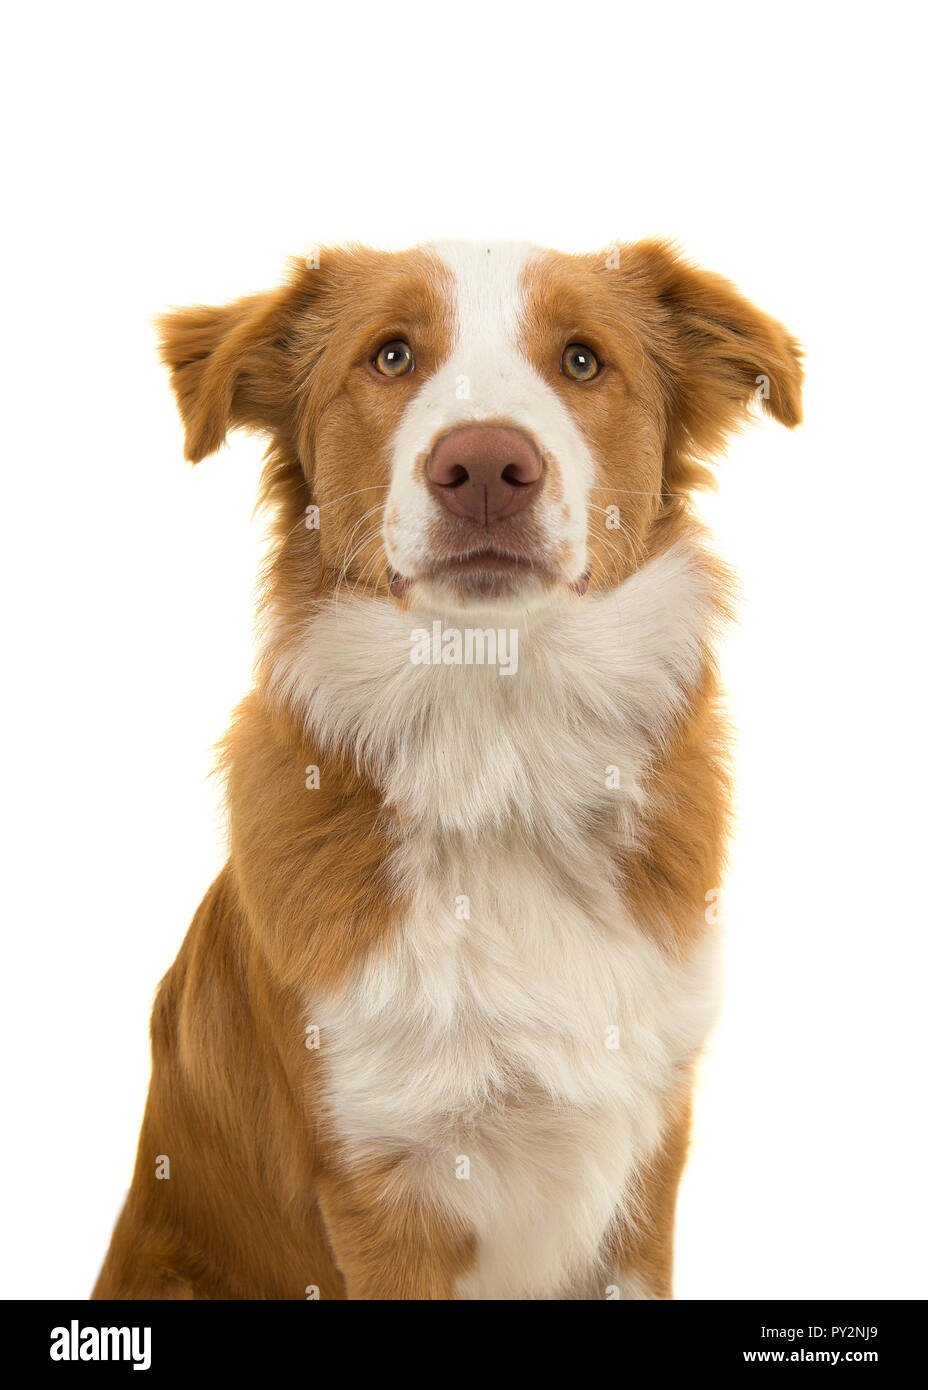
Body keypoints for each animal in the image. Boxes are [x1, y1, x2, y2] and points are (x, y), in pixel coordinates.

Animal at [95, 239, 805, 1301]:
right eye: (391, 356)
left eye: (583, 360)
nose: (483, 468)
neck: (500, 755)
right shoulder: (381, 1187)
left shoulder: (647, 1166)